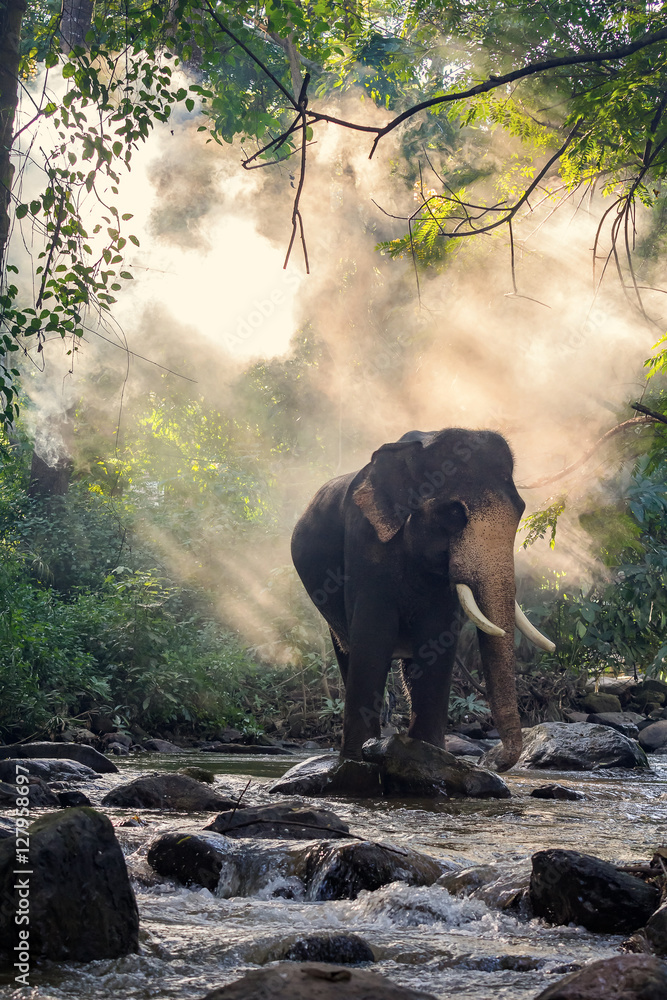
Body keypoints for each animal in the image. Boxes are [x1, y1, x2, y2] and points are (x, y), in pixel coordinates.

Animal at [291, 427, 555, 772]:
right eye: (455, 512)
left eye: (521, 508)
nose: (489, 759)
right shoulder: (365, 545)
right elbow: (373, 638)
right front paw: (356, 763)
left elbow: (436, 640)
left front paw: (428, 755)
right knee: (347, 650)